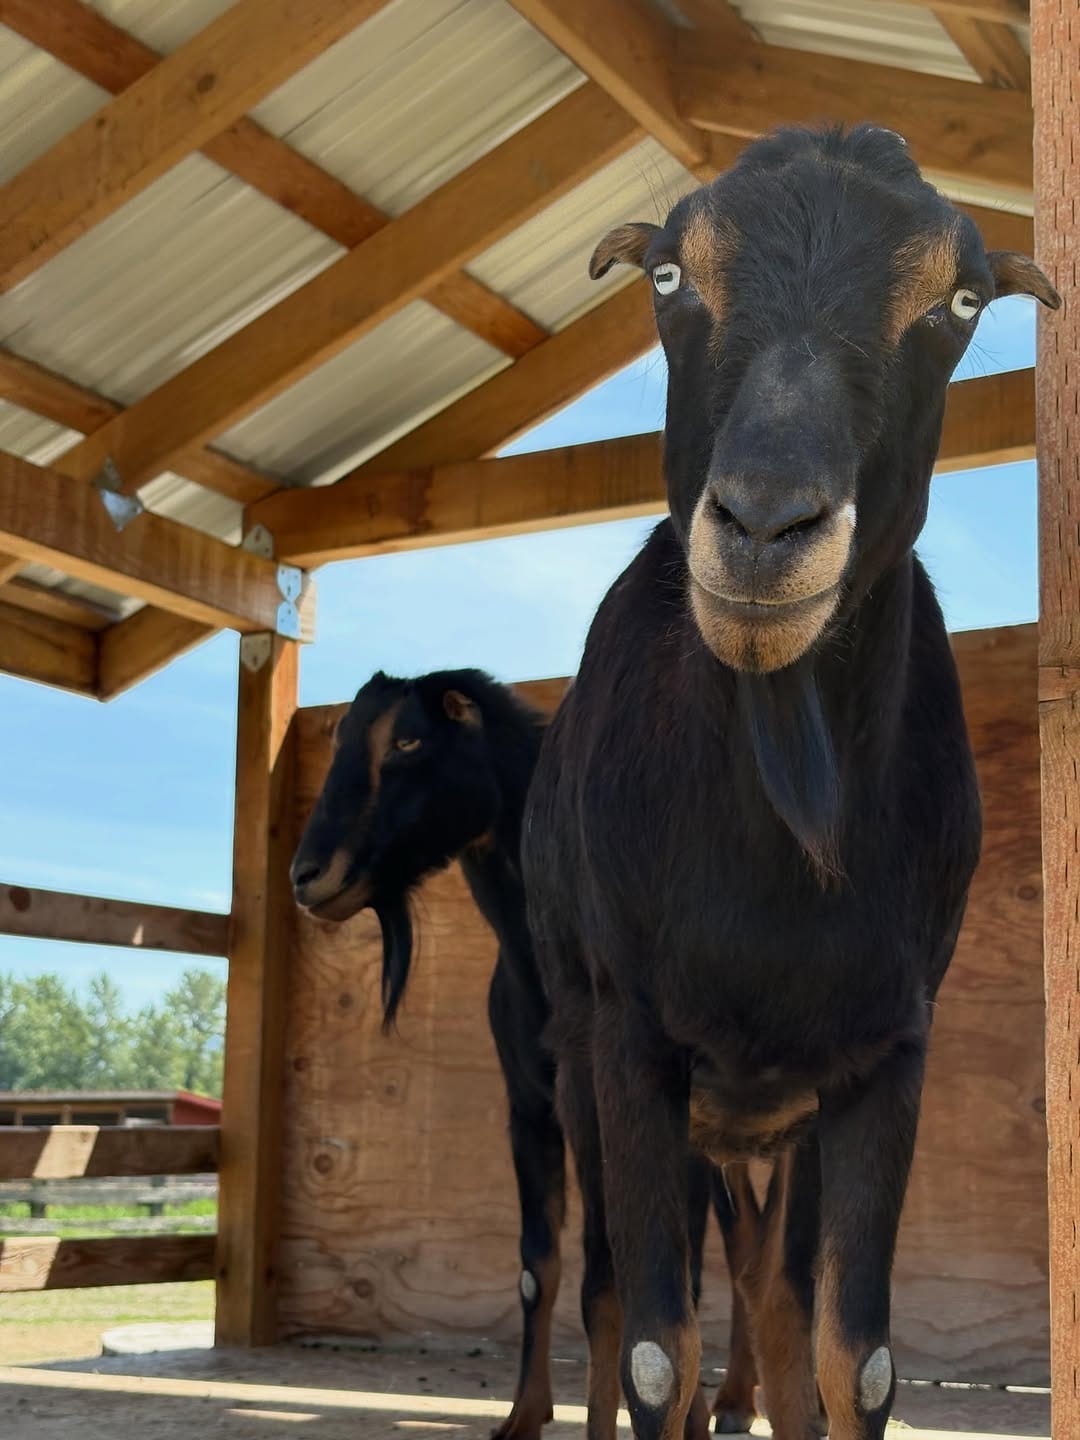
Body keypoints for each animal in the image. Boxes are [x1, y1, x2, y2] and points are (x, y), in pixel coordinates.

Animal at [289, 668, 758, 1438]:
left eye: (409, 741)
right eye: (341, 741)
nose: (308, 874)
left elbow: (637, 1274)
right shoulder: (530, 1108)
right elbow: (542, 1266)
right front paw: (522, 1414)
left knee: (749, 1238)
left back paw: (742, 1401)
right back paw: (734, 1398)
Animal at [521, 124, 1059, 1440]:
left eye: (960, 303)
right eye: (670, 277)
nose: (766, 526)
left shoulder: (883, 1050)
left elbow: (847, 1352)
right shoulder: (634, 1039)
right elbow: (653, 1347)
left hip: (769, 1124)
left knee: (771, 1297)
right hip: (588, 1069)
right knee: (606, 1296)